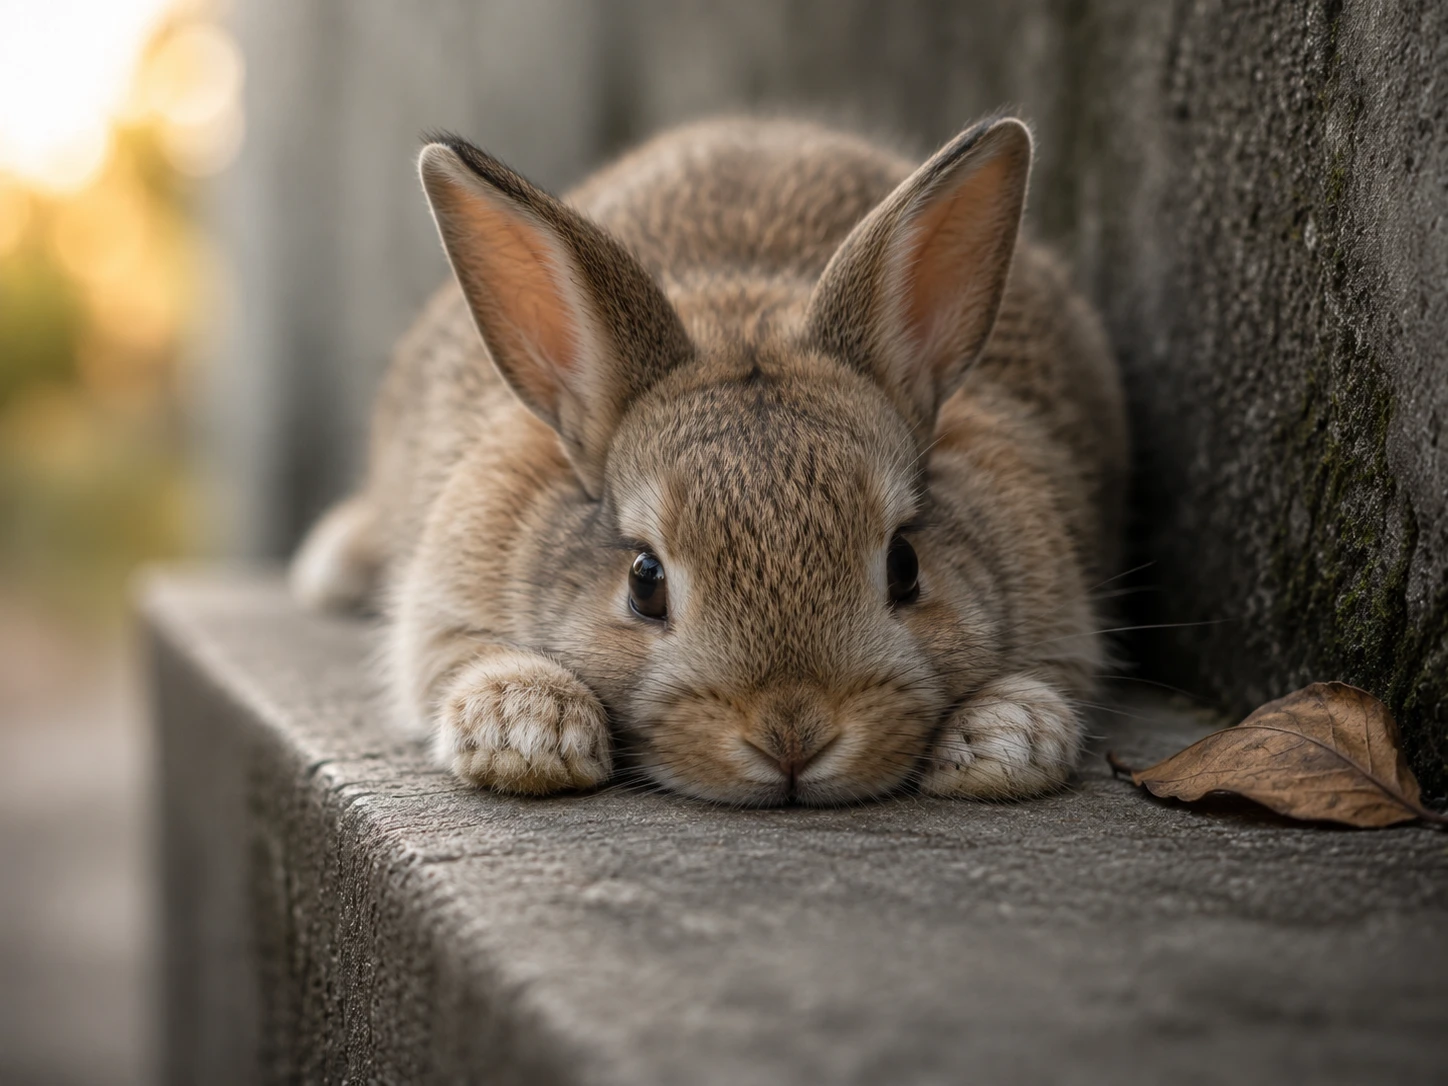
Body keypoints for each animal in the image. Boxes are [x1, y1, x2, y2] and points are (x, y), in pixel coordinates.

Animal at [290, 115, 1128, 806]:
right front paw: (529, 734)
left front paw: (1004, 742)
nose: (792, 738)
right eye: (644, 582)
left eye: (905, 566)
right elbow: (453, 661)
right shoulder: (443, 607)